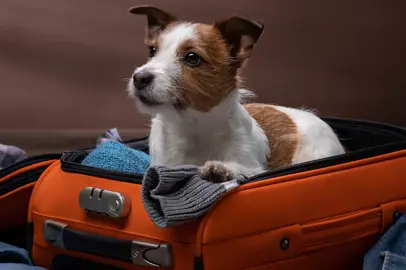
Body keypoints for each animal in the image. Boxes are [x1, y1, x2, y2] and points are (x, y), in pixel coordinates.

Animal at [127, 5, 346, 182]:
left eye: (192, 57)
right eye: (152, 51)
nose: (139, 78)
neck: (193, 127)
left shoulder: (253, 167)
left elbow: (242, 169)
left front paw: (221, 170)